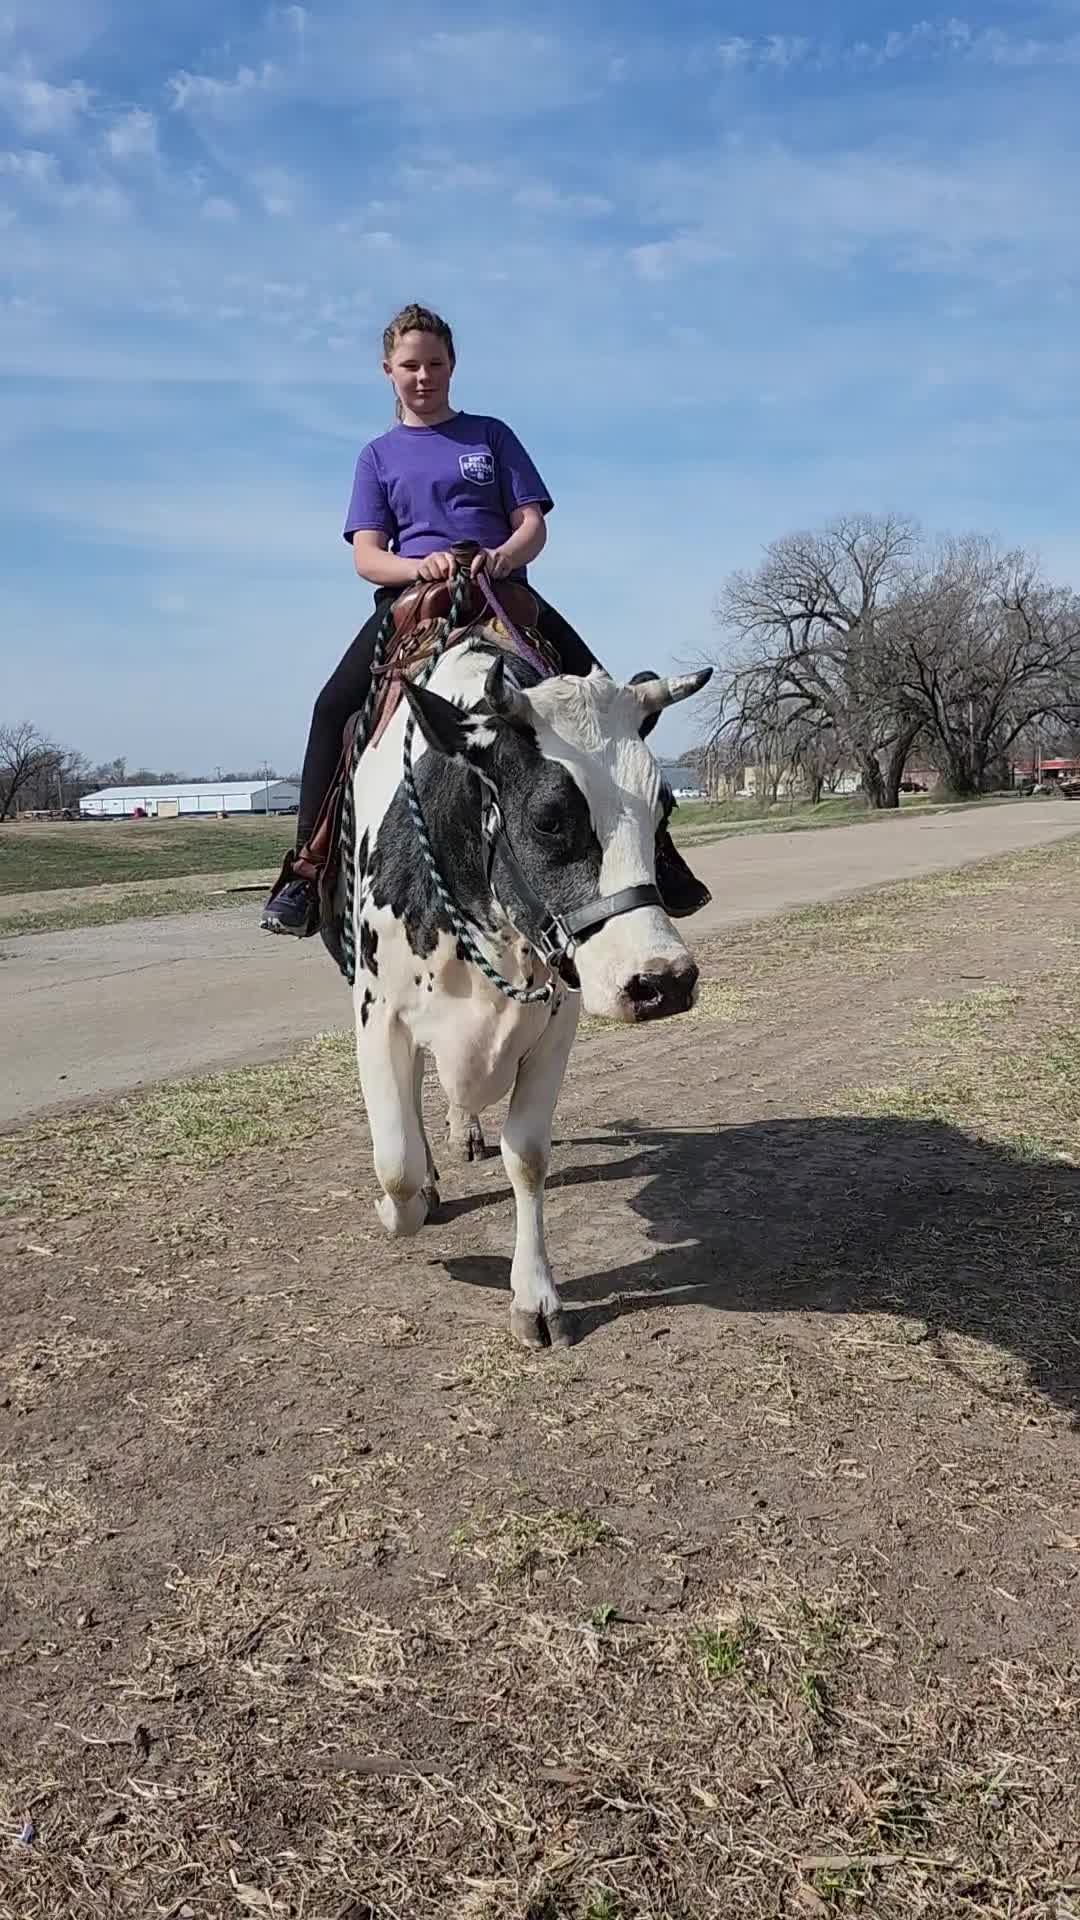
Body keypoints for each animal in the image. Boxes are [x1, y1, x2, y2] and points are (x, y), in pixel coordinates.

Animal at [342, 625, 711, 1351]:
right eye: (548, 819)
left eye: (664, 807)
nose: (663, 981)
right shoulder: (378, 1014)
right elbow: (394, 1163)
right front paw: (402, 1208)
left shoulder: (556, 1023)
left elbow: (528, 1157)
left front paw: (535, 1295)